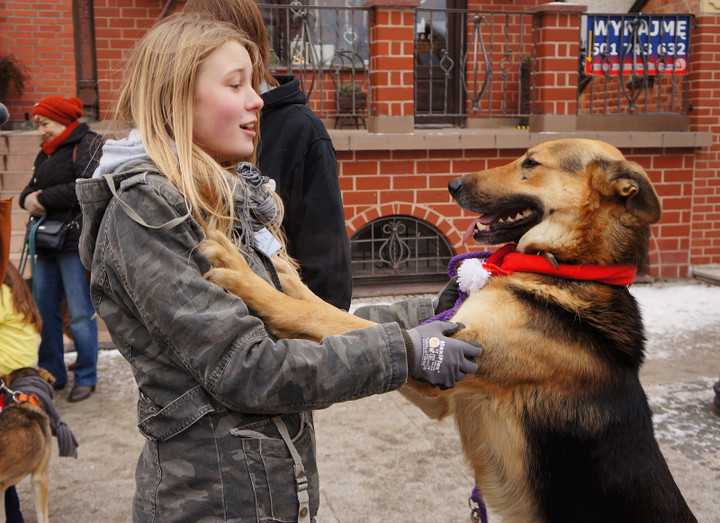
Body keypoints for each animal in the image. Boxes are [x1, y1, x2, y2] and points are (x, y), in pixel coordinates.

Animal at [200, 140, 696, 523]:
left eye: (531, 163)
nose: (453, 186)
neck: (564, 269)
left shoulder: (453, 361)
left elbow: (327, 319)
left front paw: (248, 278)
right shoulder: (442, 381)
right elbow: (328, 309)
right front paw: (281, 270)